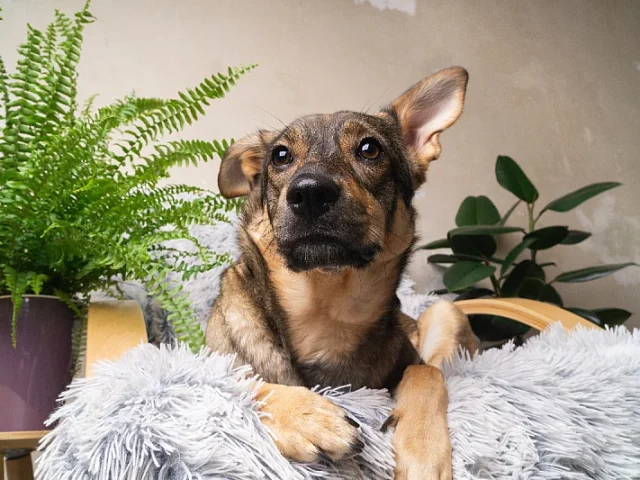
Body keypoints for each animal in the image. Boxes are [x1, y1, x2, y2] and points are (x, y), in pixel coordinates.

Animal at [206, 66, 477, 479]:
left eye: (370, 149)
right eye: (281, 156)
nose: (309, 193)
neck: (326, 308)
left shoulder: (411, 361)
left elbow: (427, 375)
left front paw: (423, 451)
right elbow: (244, 381)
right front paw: (307, 417)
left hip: (447, 311)